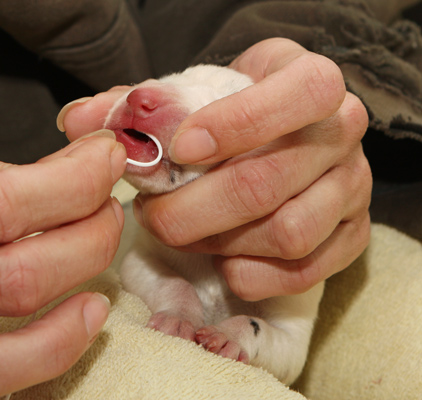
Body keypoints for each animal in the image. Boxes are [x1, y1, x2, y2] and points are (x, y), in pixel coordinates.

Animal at [96, 65, 324, 384]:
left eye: (230, 101)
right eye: (171, 76)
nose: (140, 98)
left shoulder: (294, 328)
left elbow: (266, 333)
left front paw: (230, 335)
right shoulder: (141, 258)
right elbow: (171, 281)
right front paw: (178, 316)